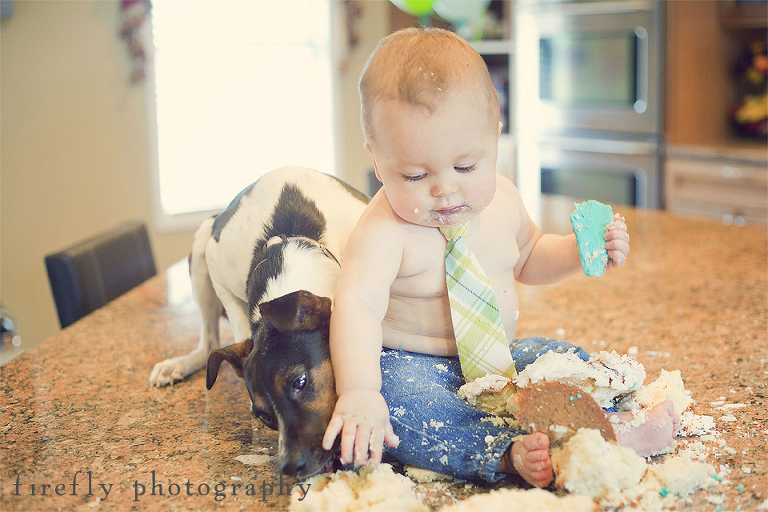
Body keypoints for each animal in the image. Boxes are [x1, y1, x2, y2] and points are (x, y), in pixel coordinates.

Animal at [149, 166, 369, 479]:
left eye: (300, 382)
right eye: (264, 417)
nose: (290, 467)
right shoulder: (217, 266)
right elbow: (241, 330)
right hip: (202, 242)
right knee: (208, 343)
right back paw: (178, 365)